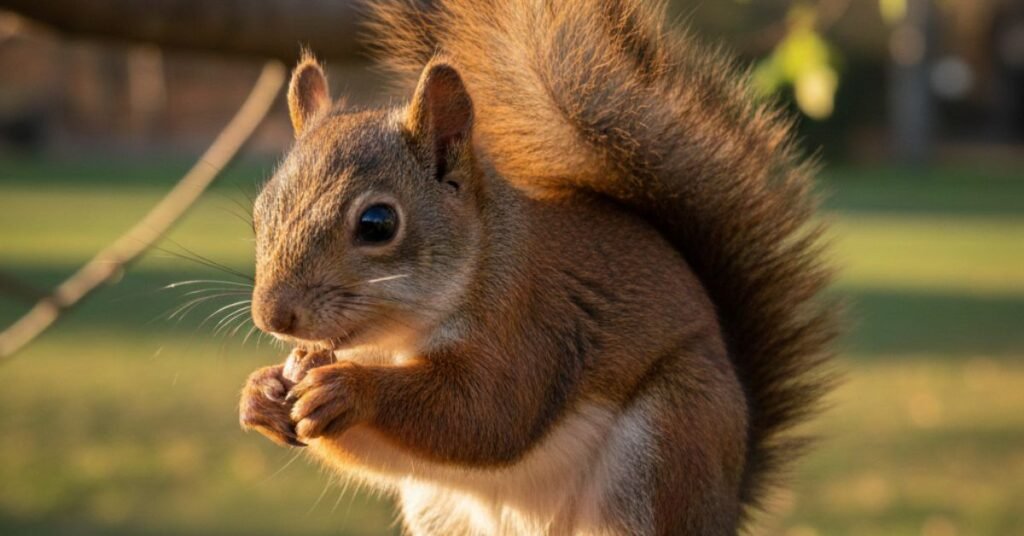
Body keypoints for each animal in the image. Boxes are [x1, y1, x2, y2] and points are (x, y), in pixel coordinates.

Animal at [237, 0, 836, 534]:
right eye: (260, 211)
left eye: (378, 223)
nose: (272, 316)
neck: (395, 341)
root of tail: (729, 498)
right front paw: (259, 395)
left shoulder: (530, 325)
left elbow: (486, 414)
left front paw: (350, 390)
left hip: (673, 441)